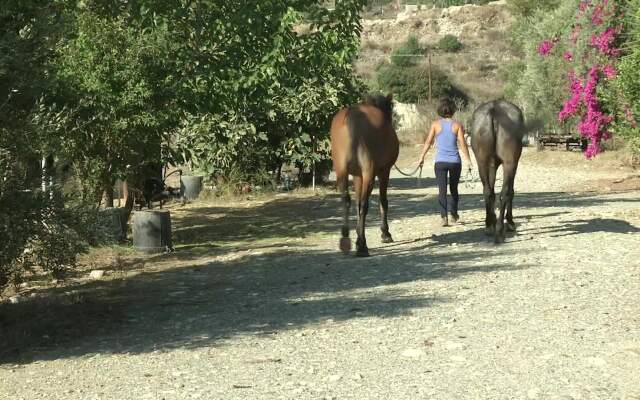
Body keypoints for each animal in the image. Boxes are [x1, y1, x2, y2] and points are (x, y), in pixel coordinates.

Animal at [332, 93, 398, 256]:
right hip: (369, 173)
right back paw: (362, 246)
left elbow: (356, 203)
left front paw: (357, 234)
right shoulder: (383, 171)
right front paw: (385, 233)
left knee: (346, 200)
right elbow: (383, 201)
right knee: (364, 204)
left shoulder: (357, 176)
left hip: (341, 172)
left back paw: (346, 239)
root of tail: (352, 116)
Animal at [470, 100, 524, 244]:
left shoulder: (492, 164)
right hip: (510, 162)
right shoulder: (514, 162)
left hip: (482, 161)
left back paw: (490, 225)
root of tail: (494, 110)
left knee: (487, 191)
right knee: (505, 193)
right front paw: (510, 222)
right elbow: (511, 191)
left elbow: (491, 189)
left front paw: (491, 220)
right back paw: (500, 230)